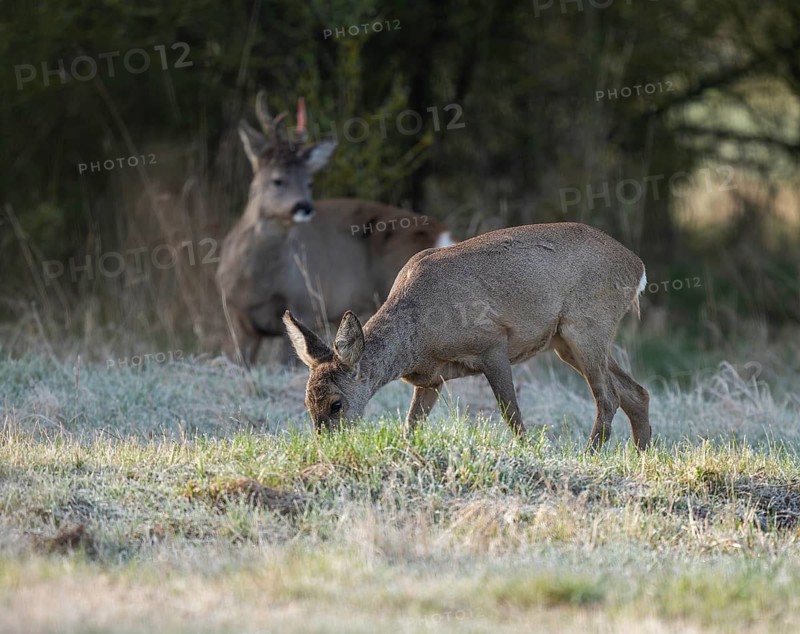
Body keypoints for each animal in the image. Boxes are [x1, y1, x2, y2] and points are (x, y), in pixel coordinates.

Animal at [216, 92, 452, 366]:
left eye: (309, 182)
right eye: (277, 180)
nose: (304, 207)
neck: (257, 282)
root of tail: (442, 234)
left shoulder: (305, 303)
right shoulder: (236, 319)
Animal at [283, 222, 652, 450]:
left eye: (336, 404)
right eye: (307, 403)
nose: (326, 446)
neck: (417, 336)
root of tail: (638, 268)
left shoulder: (493, 342)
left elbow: (511, 413)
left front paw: (530, 452)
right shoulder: (430, 379)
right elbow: (410, 426)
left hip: (586, 325)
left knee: (608, 397)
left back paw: (589, 454)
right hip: (567, 342)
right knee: (637, 392)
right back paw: (639, 456)